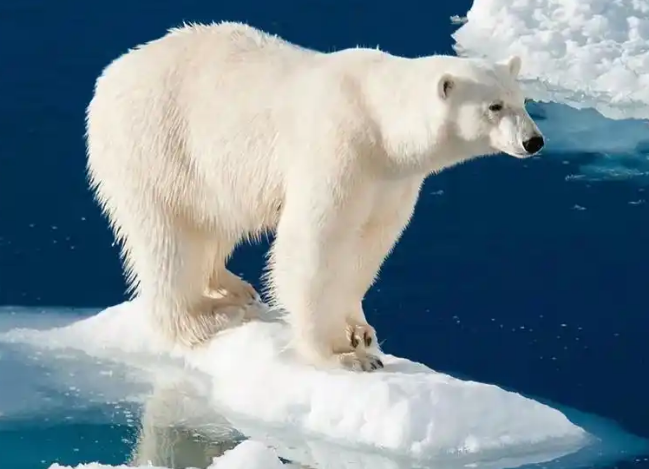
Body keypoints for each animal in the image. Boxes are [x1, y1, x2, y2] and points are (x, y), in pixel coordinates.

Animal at [85, 21, 544, 372]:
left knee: (217, 220)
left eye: (523, 100)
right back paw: (202, 320)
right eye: (494, 106)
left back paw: (233, 288)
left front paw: (360, 331)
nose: (534, 141)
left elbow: (369, 243)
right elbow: (315, 245)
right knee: (170, 237)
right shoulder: (340, 150)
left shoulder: (391, 180)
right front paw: (344, 355)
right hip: (157, 145)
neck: (379, 123)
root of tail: (110, 75)